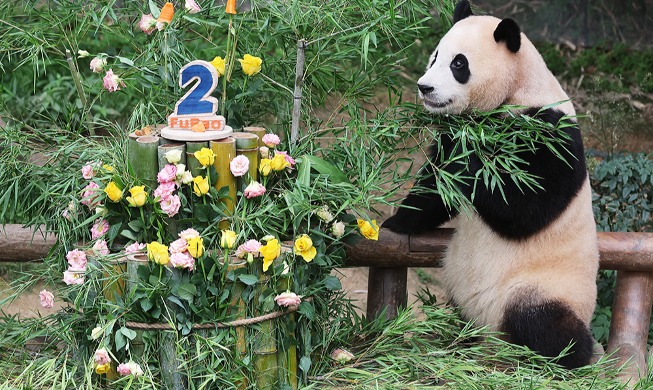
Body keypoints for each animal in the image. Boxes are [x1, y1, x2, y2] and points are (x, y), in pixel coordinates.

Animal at [382, 0, 600, 368]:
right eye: (434, 57)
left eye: (458, 64)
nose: (425, 88)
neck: (518, 89)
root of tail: (489, 333)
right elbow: (436, 188)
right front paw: (395, 222)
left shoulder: (548, 131)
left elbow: (526, 207)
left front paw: (474, 157)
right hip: (459, 285)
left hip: (546, 285)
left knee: (544, 323)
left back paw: (573, 356)